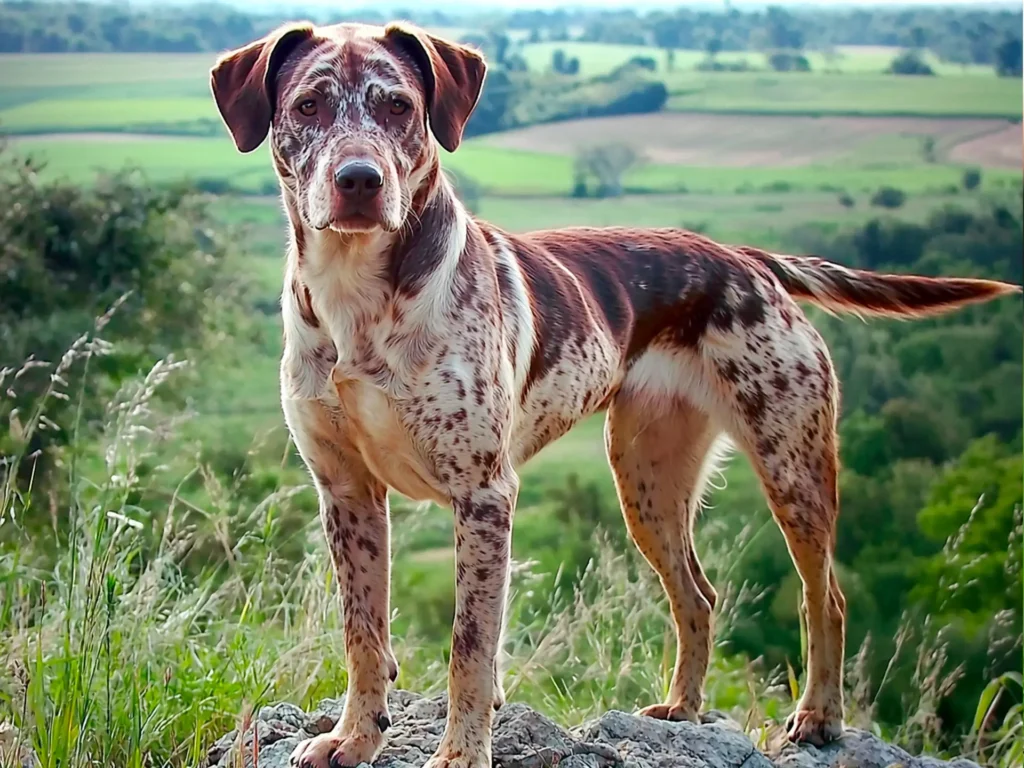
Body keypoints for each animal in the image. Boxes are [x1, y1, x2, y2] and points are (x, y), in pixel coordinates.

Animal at [211, 20, 1019, 768]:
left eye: (398, 106)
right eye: (309, 104)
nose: (359, 180)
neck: (358, 301)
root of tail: (749, 260)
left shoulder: (484, 495)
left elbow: (470, 646)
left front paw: (462, 752)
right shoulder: (346, 492)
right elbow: (363, 631)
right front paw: (353, 737)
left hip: (792, 465)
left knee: (827, 597)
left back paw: (818, 717)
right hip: (647, 481)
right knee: (698, 595)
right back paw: (683, 708)